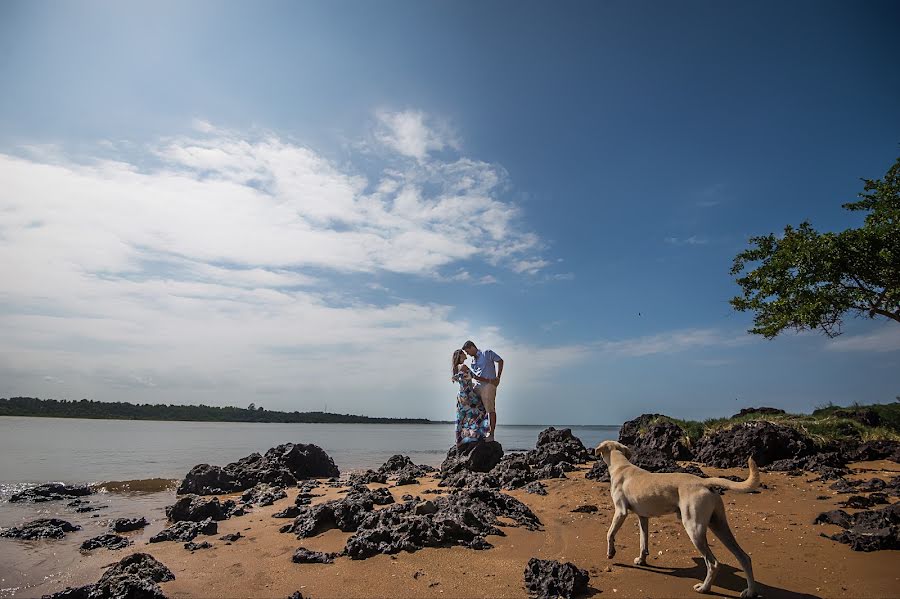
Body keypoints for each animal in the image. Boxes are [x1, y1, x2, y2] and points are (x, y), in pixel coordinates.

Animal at [596, 438, 764, 596]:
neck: (621, 465)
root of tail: (704, 481)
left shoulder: (620, 511)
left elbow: (609, 533)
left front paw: (611, 553)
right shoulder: (643, 517)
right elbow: (643, 542)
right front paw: (641, 560)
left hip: (694, 528)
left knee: (713, 563)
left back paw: (704, 588)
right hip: (719, 524)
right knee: (743, 557)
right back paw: (750, 591)